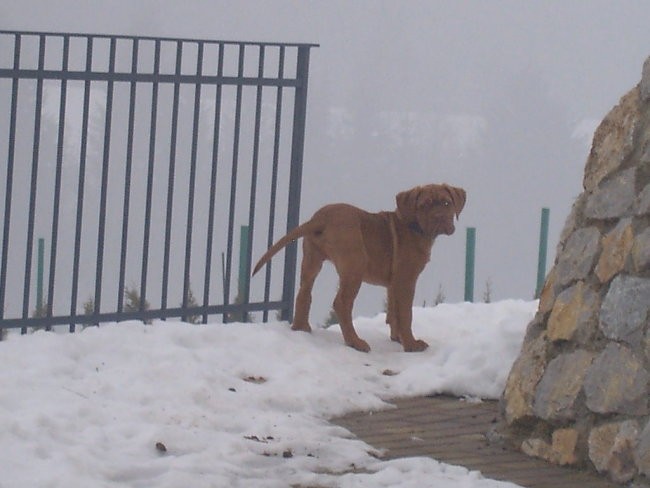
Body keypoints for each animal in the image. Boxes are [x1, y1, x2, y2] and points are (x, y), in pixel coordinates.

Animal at [251, 185, 464, 352]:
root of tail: (320, 218)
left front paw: (397, 338)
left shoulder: (393, 283)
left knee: (304, 293)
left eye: (446, 203)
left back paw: (300, 328)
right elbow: (405, 314)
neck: (414, 226)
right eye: (424, 205)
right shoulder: (406, 279)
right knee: (341, 303)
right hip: (355, 265)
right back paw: (355, 342)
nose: (439, 218)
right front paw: (411, 344)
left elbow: (393, 312)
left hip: (312, 260)